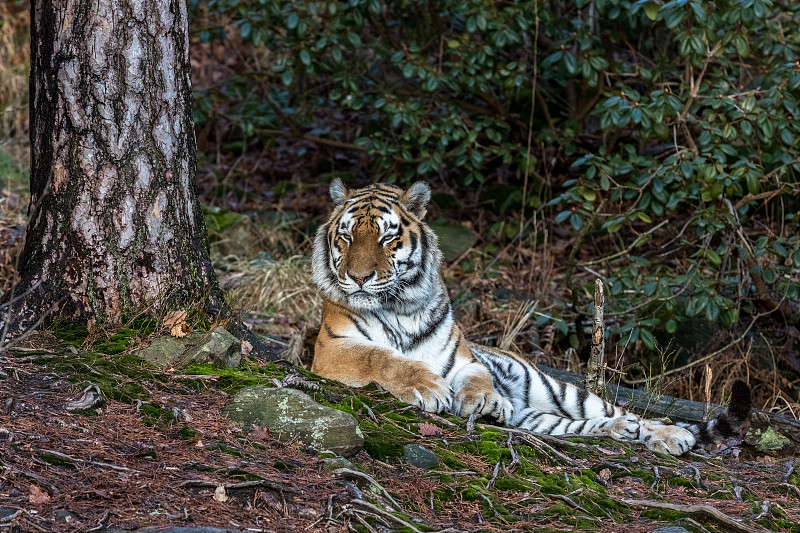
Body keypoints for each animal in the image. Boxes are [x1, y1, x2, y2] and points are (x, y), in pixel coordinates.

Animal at [310, 179, 752, 454]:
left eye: (387, 237)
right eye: (346, 236)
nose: (360, 278)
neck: (399, 303)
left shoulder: (464, 359)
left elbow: (477, 377)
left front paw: (485, 400)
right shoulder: (333, 350)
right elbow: (381, 357)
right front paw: (429, 387)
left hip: (560, 390)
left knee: (624, 412)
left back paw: (670, 434)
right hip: (542, 418)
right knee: (586, 426)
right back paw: (624, 434)